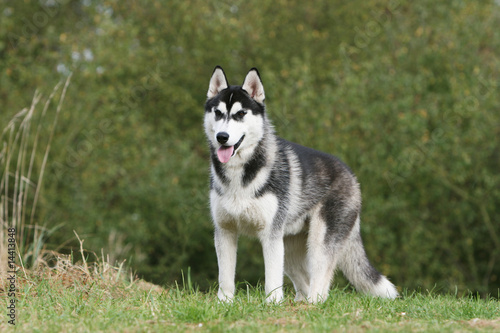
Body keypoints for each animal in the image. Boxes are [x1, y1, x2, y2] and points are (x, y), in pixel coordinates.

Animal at [204, 66, 398, 302]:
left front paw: (272, 304)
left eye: (240, 114)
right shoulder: (225, 231)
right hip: (288, 248)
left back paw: (313, 304)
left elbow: (272, 280)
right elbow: (225, 277)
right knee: (304, 283)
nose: (222, 137)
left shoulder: (270, 235)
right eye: (218, 113)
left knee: (320, 284)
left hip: (317, 244)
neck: (240, 174)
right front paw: (225, 303)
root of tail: (350, 173)